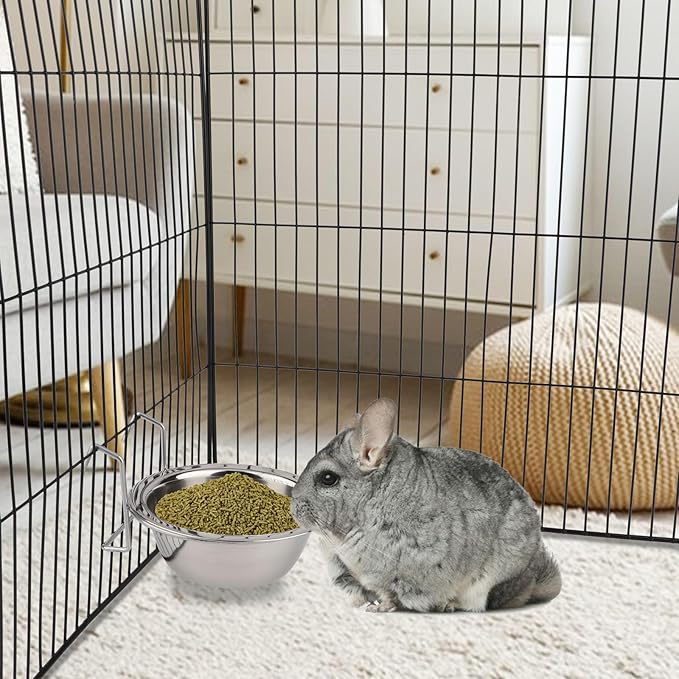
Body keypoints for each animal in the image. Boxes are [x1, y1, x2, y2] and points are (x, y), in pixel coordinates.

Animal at [291, 398, 561, 613]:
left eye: (328, 478)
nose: (293, 508)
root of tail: (532, 579)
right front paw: (357, 604)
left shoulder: (390, 573)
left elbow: (390, 595)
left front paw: (377, 609)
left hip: (494, 579)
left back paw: (448, 605)